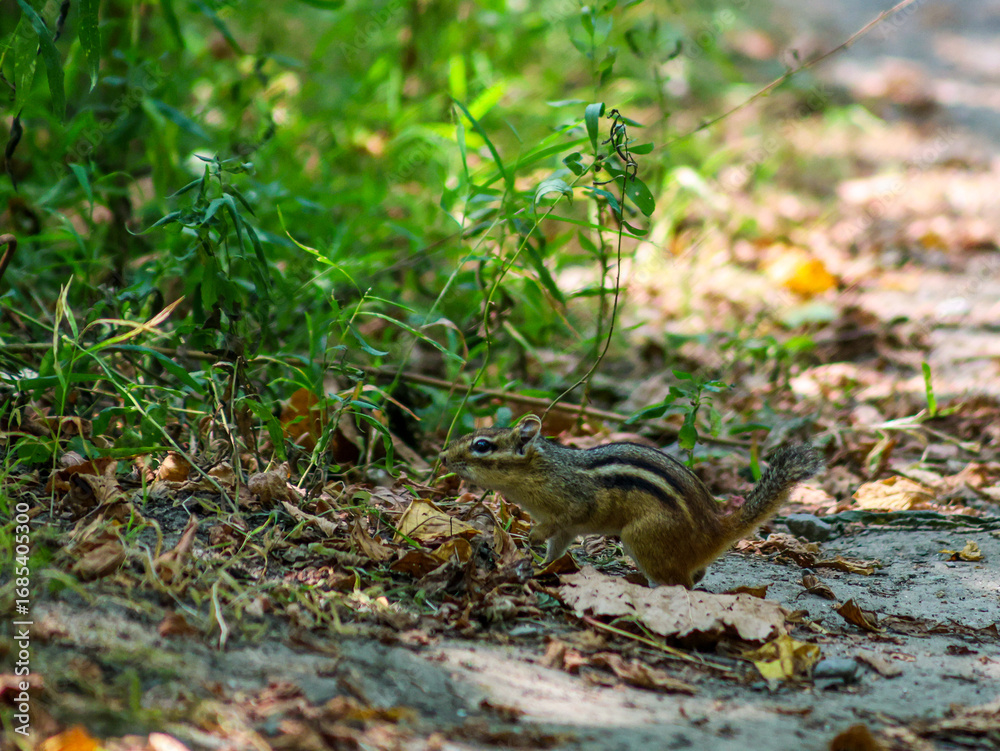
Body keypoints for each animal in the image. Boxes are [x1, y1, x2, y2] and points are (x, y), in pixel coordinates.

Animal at [441, 414, 822, 588]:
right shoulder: (567, 529)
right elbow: (558, 545)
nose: (443, 457)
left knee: (681, 584)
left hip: (641, 537)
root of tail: (715, 528)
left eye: (481, 446)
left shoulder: (573, 503)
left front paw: (530, 536)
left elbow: (561, 520)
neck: (540, 469)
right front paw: (542, 564)